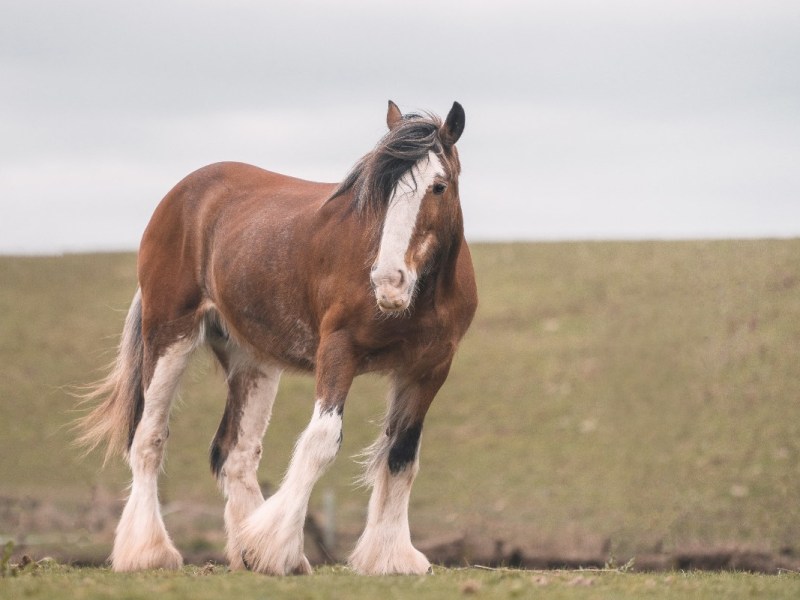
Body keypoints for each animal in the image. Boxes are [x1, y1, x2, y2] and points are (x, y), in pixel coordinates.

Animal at [76, 99, 476, 576]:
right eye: (379, 192)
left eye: (438, 186)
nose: (387, 280)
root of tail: (182, 192)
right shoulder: (338, 351)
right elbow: (321, 441)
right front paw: (273, 545)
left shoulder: (428, 369)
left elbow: (401, 455)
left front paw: (389, 557)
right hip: (170, 334)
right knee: (148, 440)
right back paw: (148, 551)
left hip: (252, 361)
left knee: (236, 453)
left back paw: (246, 552)